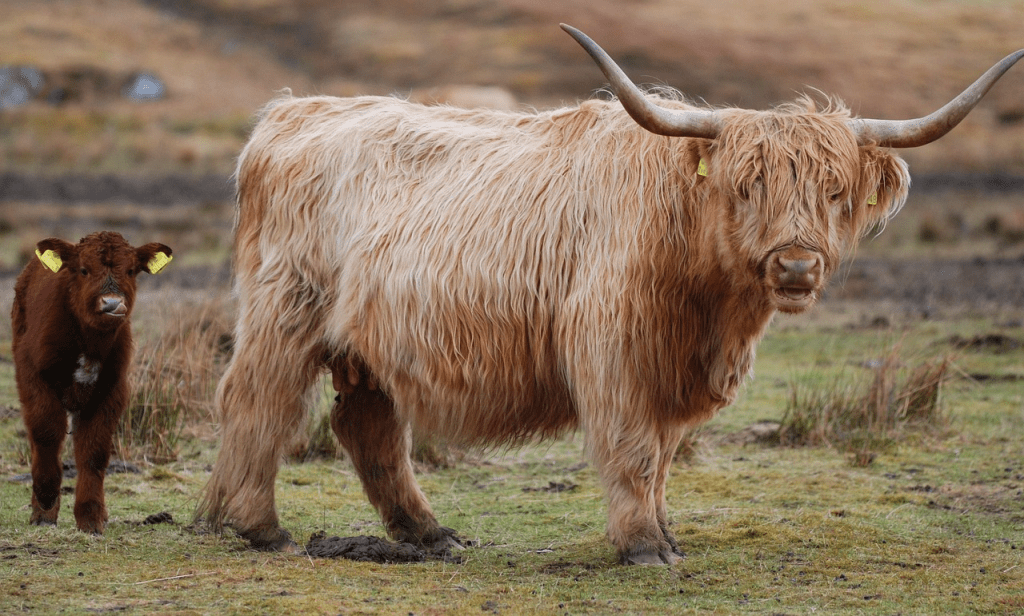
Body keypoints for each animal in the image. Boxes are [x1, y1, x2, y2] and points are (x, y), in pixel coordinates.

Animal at [12, 231, 172, 533]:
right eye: (84, 270)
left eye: (131, 271)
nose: (111, 303)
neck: (89, 343)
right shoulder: (34, 378)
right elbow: (46, 433)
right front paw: (46, 502)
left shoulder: (112, 389)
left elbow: (94, 451)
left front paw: (91, 517)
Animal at [197, 25, 1023, 564]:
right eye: (746, 183)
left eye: (835, 190)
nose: (794, 267)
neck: (710, 308)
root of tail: (291, 112)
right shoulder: (614, 351)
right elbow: (632, 450)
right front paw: (643, 548)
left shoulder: (673, 372)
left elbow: (662, 457)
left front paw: (667, 535)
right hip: (285, 309)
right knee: (257, 400)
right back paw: (254, 527)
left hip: (364, 340)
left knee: (365, 426)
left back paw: (425, 534)